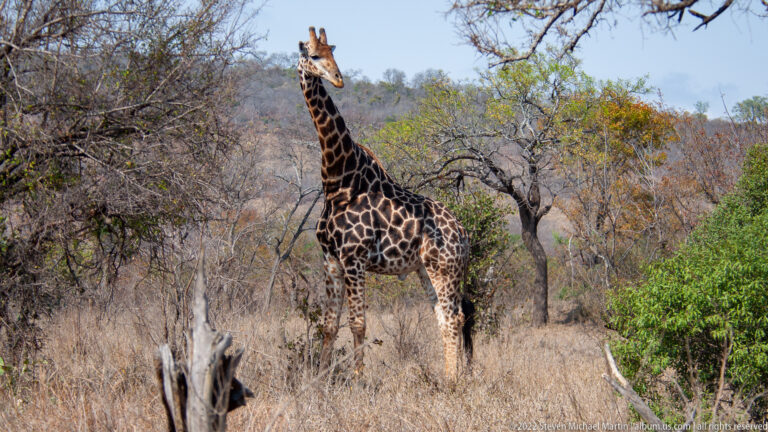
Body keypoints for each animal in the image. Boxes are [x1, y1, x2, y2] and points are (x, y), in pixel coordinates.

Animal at [297, 27, 473, 380]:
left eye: (333, 52)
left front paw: (358, 381)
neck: (337, 180)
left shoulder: (354, 258)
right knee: (445, 317)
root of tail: (463, 234)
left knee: (452, 319)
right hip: (426, 270)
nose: (338, 79)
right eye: (314, 55)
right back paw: (450, 377)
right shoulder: (331, 259)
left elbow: (358, 324)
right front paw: (320, 380)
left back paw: (452, 381)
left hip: (444, 269)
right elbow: (329, 325)